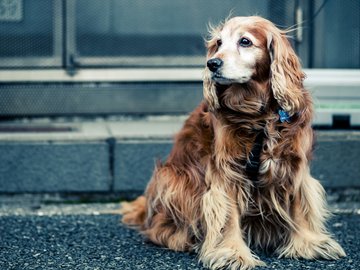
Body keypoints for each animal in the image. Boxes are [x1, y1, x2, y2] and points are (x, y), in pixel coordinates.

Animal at [121, 15, 346, 268]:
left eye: (245, 41)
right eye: (218, 43)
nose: (212, 64)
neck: (259, 116)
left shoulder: (294, 164)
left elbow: (300, 204)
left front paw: (309, 243)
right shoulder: (227, 171)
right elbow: (227, 215)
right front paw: (232, 253)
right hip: (171, 178)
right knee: (162, 229)